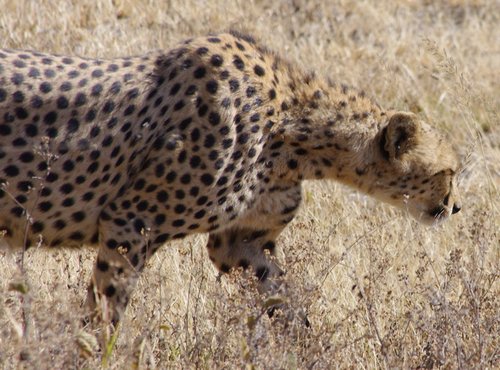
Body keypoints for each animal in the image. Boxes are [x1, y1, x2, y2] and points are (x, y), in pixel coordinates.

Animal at [0, 31, 460, 326]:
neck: (294, 131)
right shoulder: (130, 222)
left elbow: (283, 296)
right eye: (449, 171)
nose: (455, 207)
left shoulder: (239, 242)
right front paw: (95, 349)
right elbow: (106, 308)